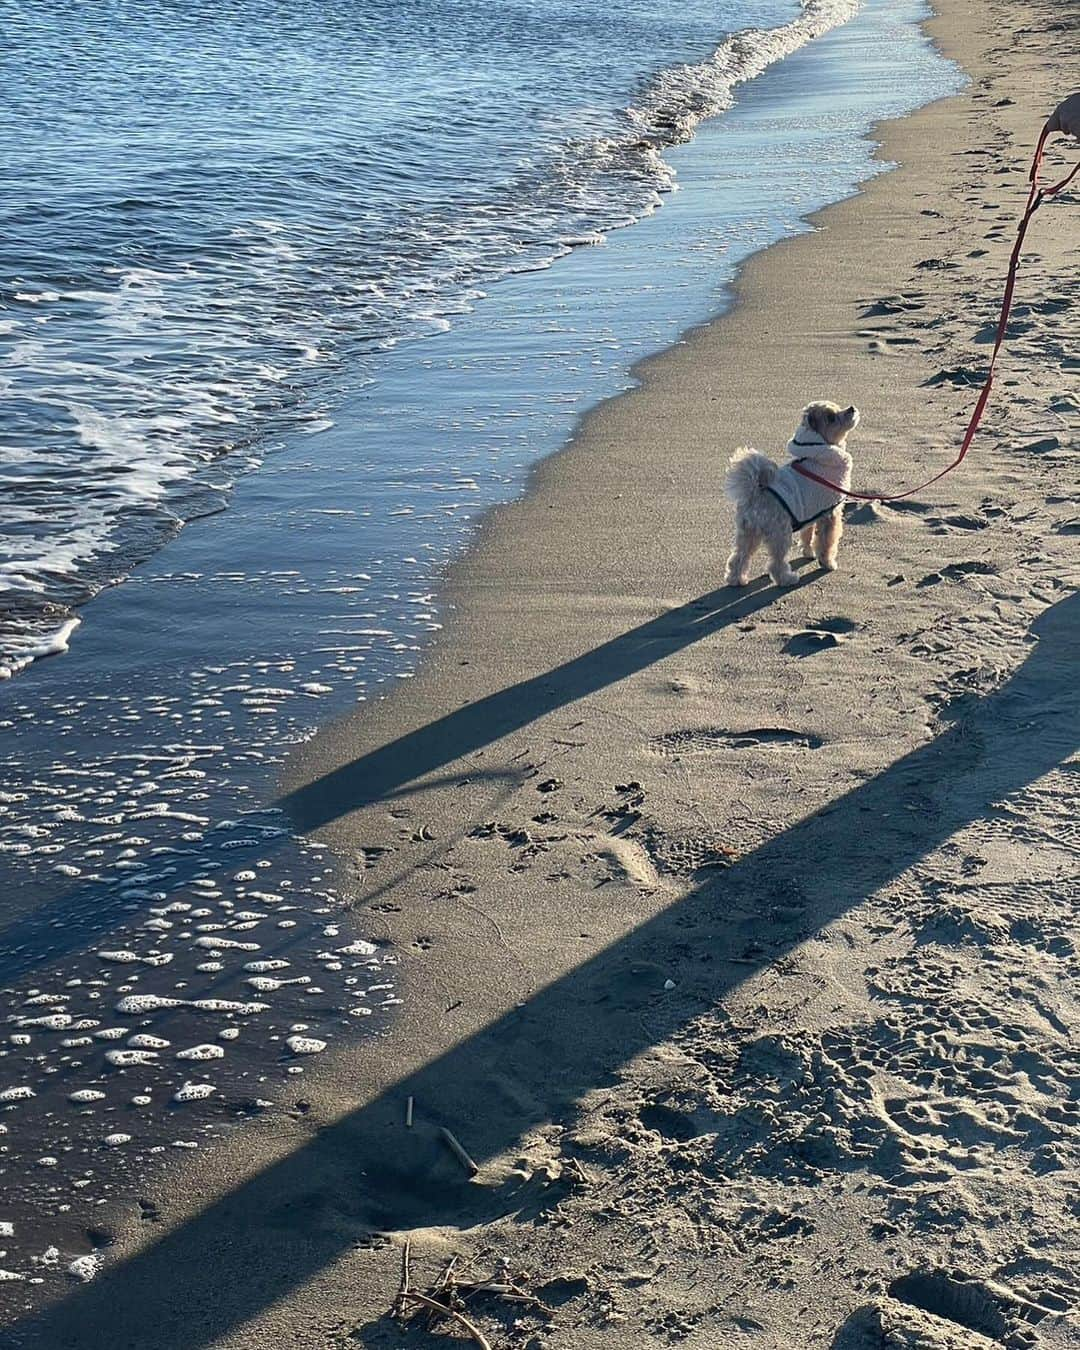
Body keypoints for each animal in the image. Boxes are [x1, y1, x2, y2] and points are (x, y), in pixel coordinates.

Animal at [723, 402, 858, 588]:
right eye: (831, 418)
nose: (851, 408)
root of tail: (755, 494)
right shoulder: (830, 514)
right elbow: (826, 543)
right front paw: (828, 563)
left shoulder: (811, 511)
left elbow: (808, 535)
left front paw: (808, 553)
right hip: (779, 532)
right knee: (776, 563)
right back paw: (787, 579)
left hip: (748, 533)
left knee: (739, 557)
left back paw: (736, 579)